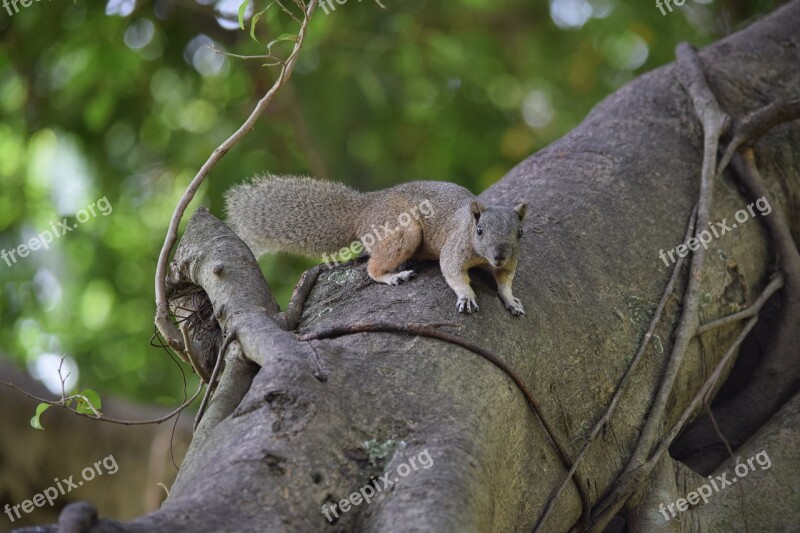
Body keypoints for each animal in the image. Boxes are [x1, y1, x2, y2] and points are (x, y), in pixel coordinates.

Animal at [222, 175, 528, 316]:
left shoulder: (510, 262)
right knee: (372, 266)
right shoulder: (455, 248)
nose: (498, 256)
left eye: (520, 233)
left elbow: (505, 280)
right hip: (402, 231)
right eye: (479, 231)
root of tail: (364, 210)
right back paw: (394, 276)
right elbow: (452, 271)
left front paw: (511, 299)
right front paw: (466, 295)